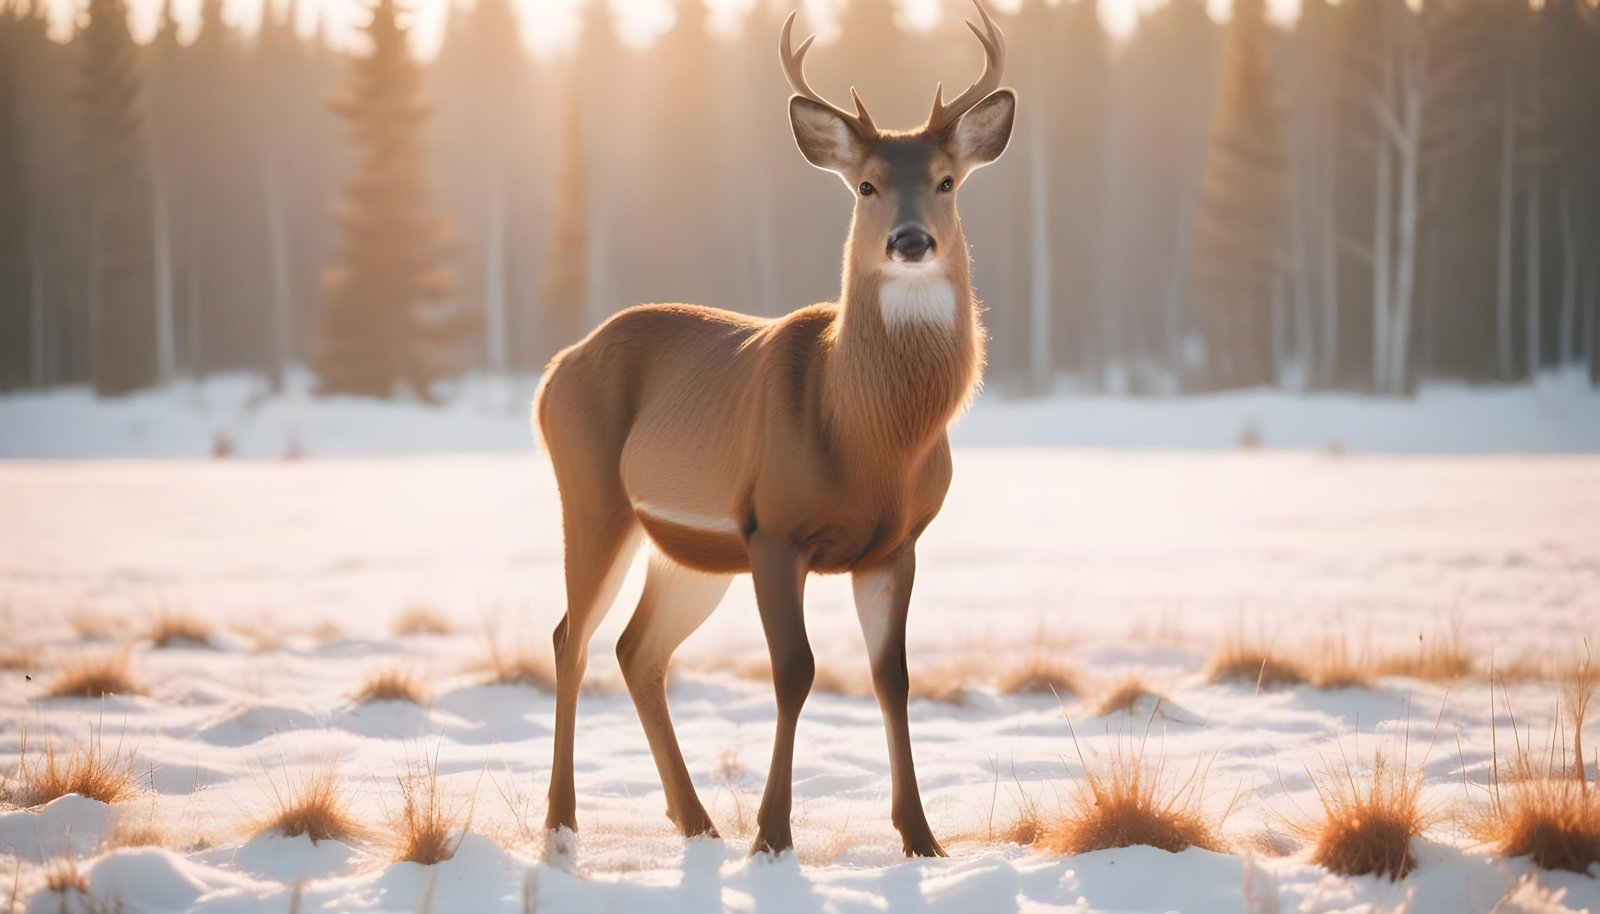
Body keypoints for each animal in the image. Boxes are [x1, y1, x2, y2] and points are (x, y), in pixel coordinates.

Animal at [534, 0, 1014, 859]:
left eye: (947, 181)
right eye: (866, 185)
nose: (911, 240)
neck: (866, 434)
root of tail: (553, 371)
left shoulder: (896, 543)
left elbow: (892, 677)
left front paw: (922, 838)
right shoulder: (774, 527)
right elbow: (795, 670)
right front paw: (773, 833)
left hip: (688, 552)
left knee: (636, 650)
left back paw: (695, 821)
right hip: (591, 496)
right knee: (571, 638)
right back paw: (562, 822)